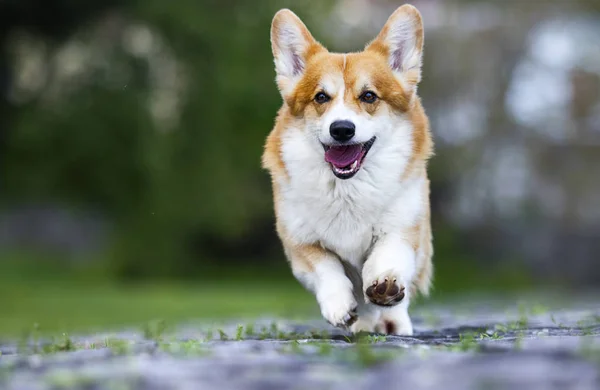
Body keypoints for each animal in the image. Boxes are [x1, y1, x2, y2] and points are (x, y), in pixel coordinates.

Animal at [262, 4, 432, 336]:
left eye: (368, 96)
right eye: (321, 97)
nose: (341, 129)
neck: (347, 187)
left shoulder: (404, 225)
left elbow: (387, 253)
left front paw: (384, 284)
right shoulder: (300, 241)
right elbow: (327, 267)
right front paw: (339, 306)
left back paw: (392, 320)